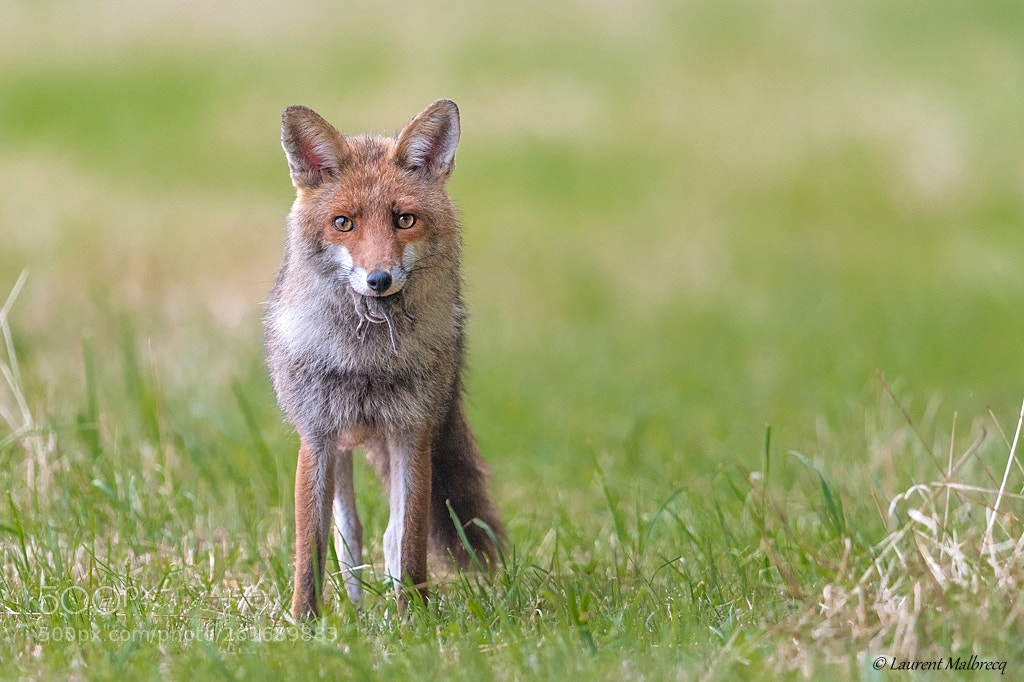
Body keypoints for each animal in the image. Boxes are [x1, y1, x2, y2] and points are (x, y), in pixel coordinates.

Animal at [264, 99, 505, 619]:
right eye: (343, 223)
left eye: (404, 220)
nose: (379, 280)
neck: (366, 362)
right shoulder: (317, 436)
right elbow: (311, 546)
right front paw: (303, 621)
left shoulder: (412, 432)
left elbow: (407, 541)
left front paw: (413, 616)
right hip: (341, 449)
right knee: (348, 534)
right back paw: (354, 611)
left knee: (389, 536)